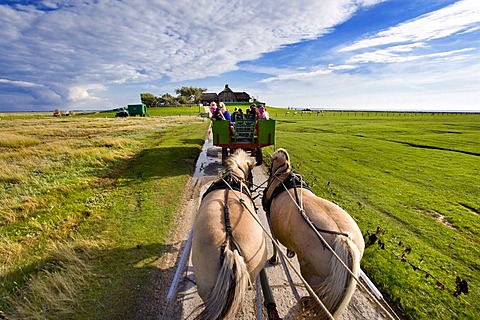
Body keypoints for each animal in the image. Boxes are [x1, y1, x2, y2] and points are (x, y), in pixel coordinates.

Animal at [262, 149, 364, 318]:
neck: (283, 175)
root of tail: (343, 240)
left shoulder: (269, 219)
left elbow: (274, 242)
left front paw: (274, 258)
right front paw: (289, 252)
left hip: (312, 276)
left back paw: (306, 303)